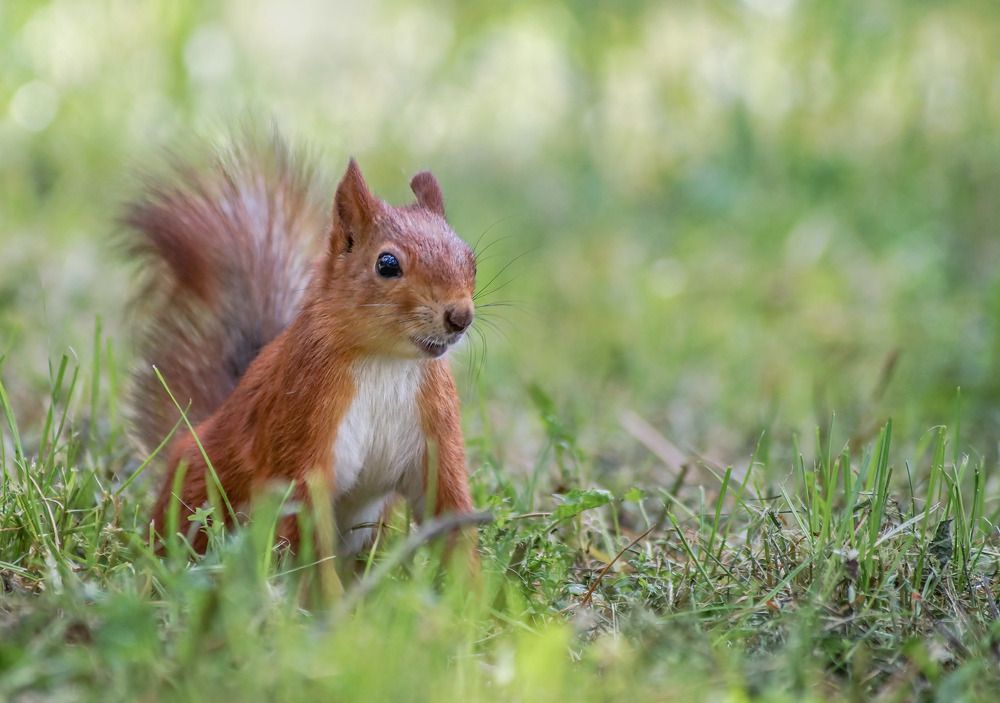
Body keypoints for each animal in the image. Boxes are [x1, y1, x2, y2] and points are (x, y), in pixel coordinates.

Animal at [124, 132, 477, 556]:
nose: (460, 317)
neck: (387, 361)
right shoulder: (304, 422)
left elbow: (450, 513)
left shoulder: (437, 435)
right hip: (197, 492)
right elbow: (306, 536)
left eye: (471, 259)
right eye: (387, 264)